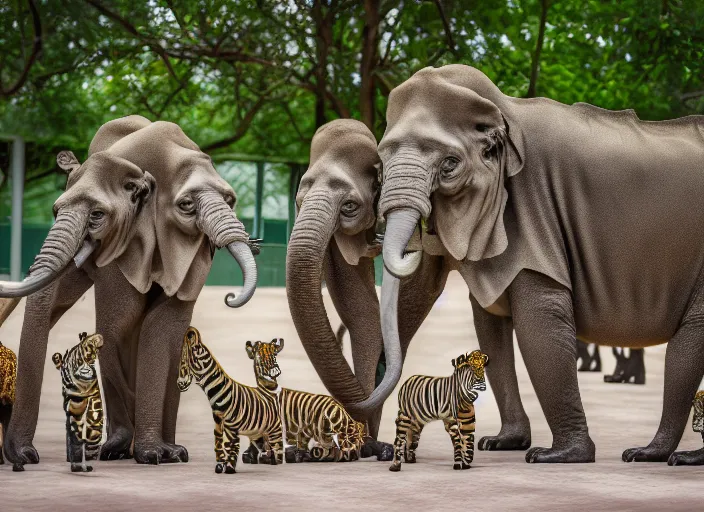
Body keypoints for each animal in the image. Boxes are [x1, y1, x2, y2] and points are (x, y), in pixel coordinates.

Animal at [52, 332, 104, 472]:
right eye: (79, 361)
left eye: (92, 359)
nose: (98, 337)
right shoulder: (74, 401)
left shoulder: (94, 395)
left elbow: (95, 416)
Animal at [176, 326, 284, 474]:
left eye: (193, 352)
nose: (180, 384)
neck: (218, 390)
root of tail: (268, 393)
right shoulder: (218, 421)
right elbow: (218, 442)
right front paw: (219, 466)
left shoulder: (232, 426)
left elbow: (230, 446)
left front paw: (230, 469)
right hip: (258, 435)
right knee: (267, 451)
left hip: (275, 433)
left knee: (278, 452)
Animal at [374, 64, 704, 464]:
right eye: (380, 162)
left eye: (449, 165)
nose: (381, 450)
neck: (503, 109)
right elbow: (485, 324)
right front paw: (501, 443)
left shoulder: (533, 213)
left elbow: (540, 322)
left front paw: (556, 456)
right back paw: (659, 456)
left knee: (689, 342)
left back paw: (650, 455)